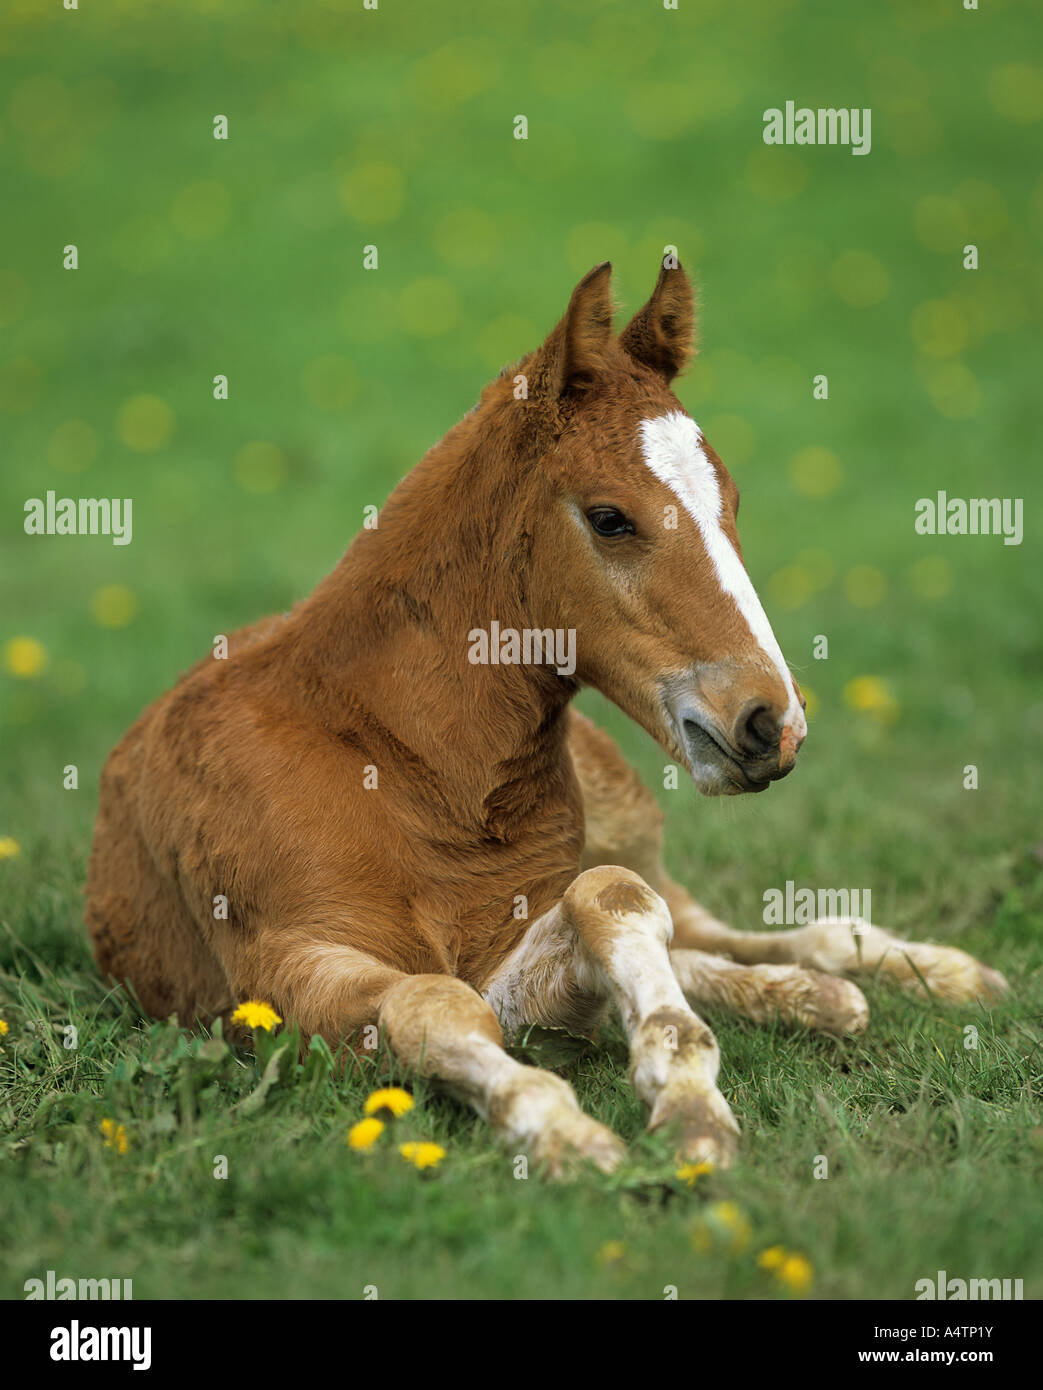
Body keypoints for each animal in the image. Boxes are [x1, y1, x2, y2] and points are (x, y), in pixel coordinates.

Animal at [87, 262, 1006, 1173]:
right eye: (608, 518)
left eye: (732, 502)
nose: (767, 722)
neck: (399, 763)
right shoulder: (281, 972)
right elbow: (436, 1005)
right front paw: (564, 1132)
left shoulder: (530, 936)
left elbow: (615, 899)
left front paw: (686, 1102)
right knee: (696, 942)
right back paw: (818, 996)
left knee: (710, 922)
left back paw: (921, 974)